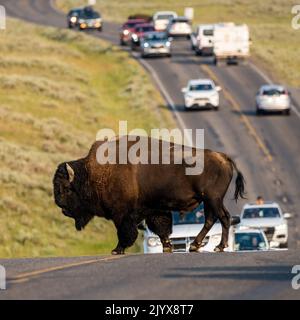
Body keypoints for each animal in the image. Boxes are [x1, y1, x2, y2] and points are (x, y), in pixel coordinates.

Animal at [54, 136, 245, 254]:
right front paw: (167, 247)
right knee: (211, 219)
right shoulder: (153, 209)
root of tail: (223, 157)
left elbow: (125, 232)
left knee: (223, 218)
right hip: (209, 201)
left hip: (213, 199)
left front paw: (117, 250)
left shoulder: (121, 213)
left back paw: (219, 247)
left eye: (66, 188)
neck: (91, 174)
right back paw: (194, 246)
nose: (61, 206)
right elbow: (161, 228)